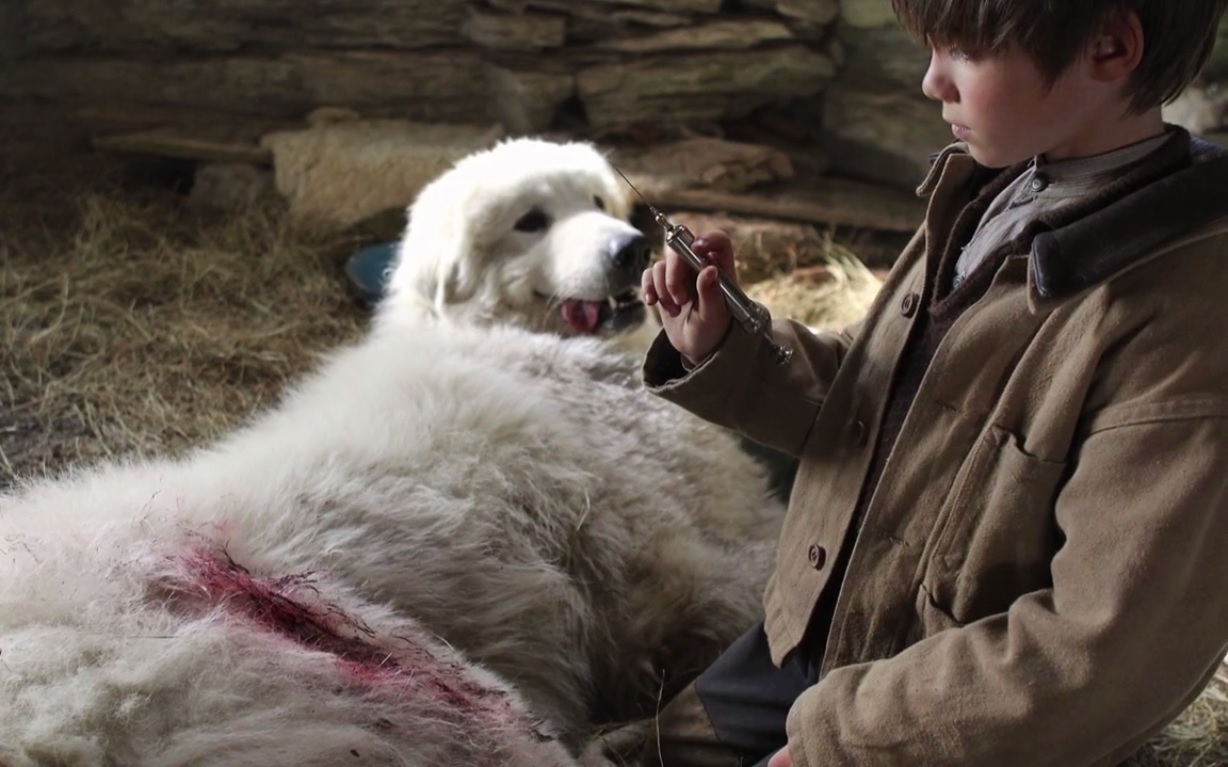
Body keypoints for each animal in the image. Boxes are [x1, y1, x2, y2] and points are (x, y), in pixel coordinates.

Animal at [0, 140, 781, 760]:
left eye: (595, 199)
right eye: (531, 221)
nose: (631, 248)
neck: (500, 338)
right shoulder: (671, 556)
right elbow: (748, 590)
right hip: (416, 692)